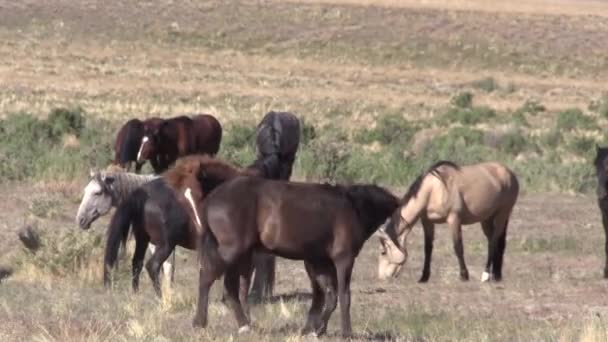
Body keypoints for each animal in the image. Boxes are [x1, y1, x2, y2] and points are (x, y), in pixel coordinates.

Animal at [190, 176, 400, 336]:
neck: (354, 207)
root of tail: (212, 198)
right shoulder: (343, 259)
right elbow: (342, 295)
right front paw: (345, 333)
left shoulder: (318, 261)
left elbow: (326, 296)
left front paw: (315, 329)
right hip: (231, 252)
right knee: (207, 278)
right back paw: (200, 322)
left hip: (242, 256)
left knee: (230, 289)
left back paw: (244, 325)